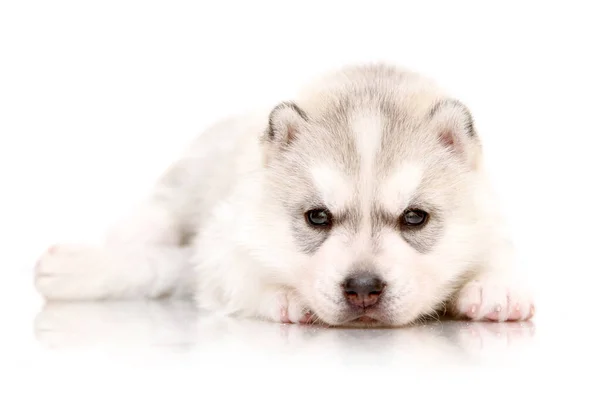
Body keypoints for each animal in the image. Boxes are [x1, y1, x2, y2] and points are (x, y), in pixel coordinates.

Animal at [35, 62, 536, 324]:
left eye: (414, 218)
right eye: (318, 217)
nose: (363, 289)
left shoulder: (493, 220)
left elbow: (497, 256)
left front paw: (494, 287)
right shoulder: (221, 242)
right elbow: (238, 274)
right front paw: (286, 295)